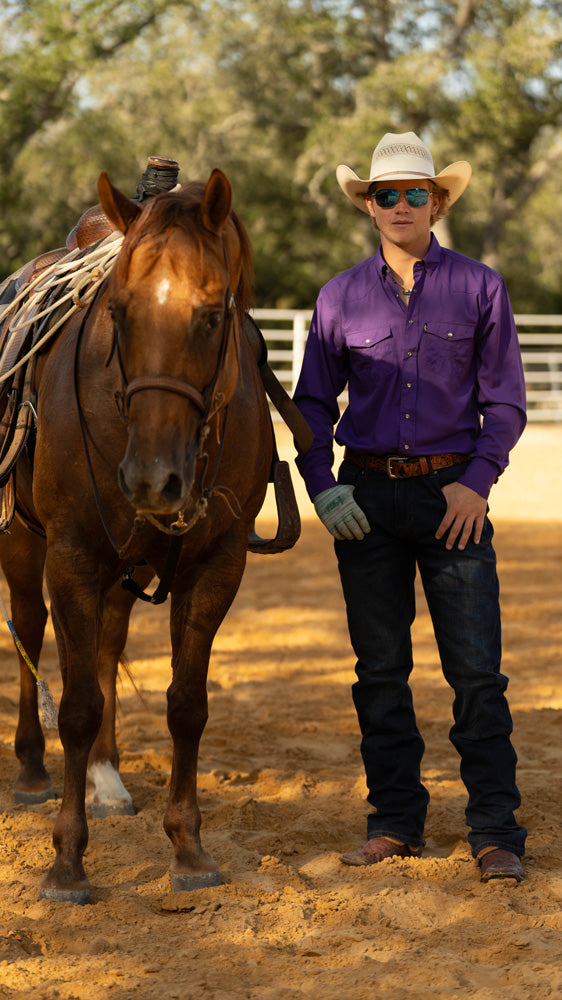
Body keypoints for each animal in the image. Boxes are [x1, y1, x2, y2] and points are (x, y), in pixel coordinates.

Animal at [8, 168, 272, 904]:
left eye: (212, 315)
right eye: (119, 313)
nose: (153, 479)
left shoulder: (218, 565)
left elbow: (186, 705)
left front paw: (187, 847)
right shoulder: (70, 554)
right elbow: (74, 706)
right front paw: (67, 863)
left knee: (106, 641)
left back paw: (106, 776)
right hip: (25, 543)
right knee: (29, 627)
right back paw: (34, 769)